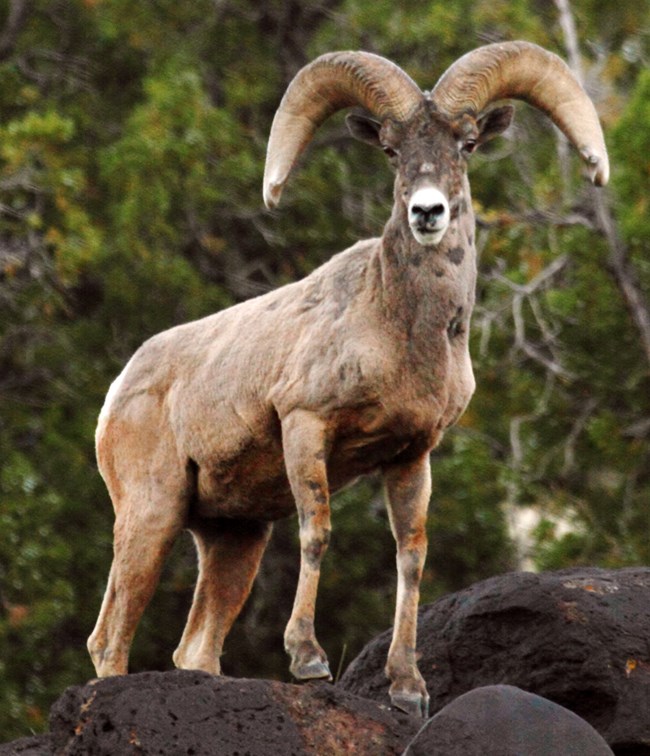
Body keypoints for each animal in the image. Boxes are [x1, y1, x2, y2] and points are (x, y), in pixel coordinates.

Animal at [88, 39, 604, 716]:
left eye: (467, 143)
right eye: (390, 149)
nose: (428, 212)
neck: (400, 329)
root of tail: (118, 394)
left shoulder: (411, 456)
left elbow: (410, 555)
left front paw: (408, 688)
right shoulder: (307, 426)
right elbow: (317, 532)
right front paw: (308, 661)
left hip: (233, 538)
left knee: (195, 647)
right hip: (152, 515)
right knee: (109, 640)